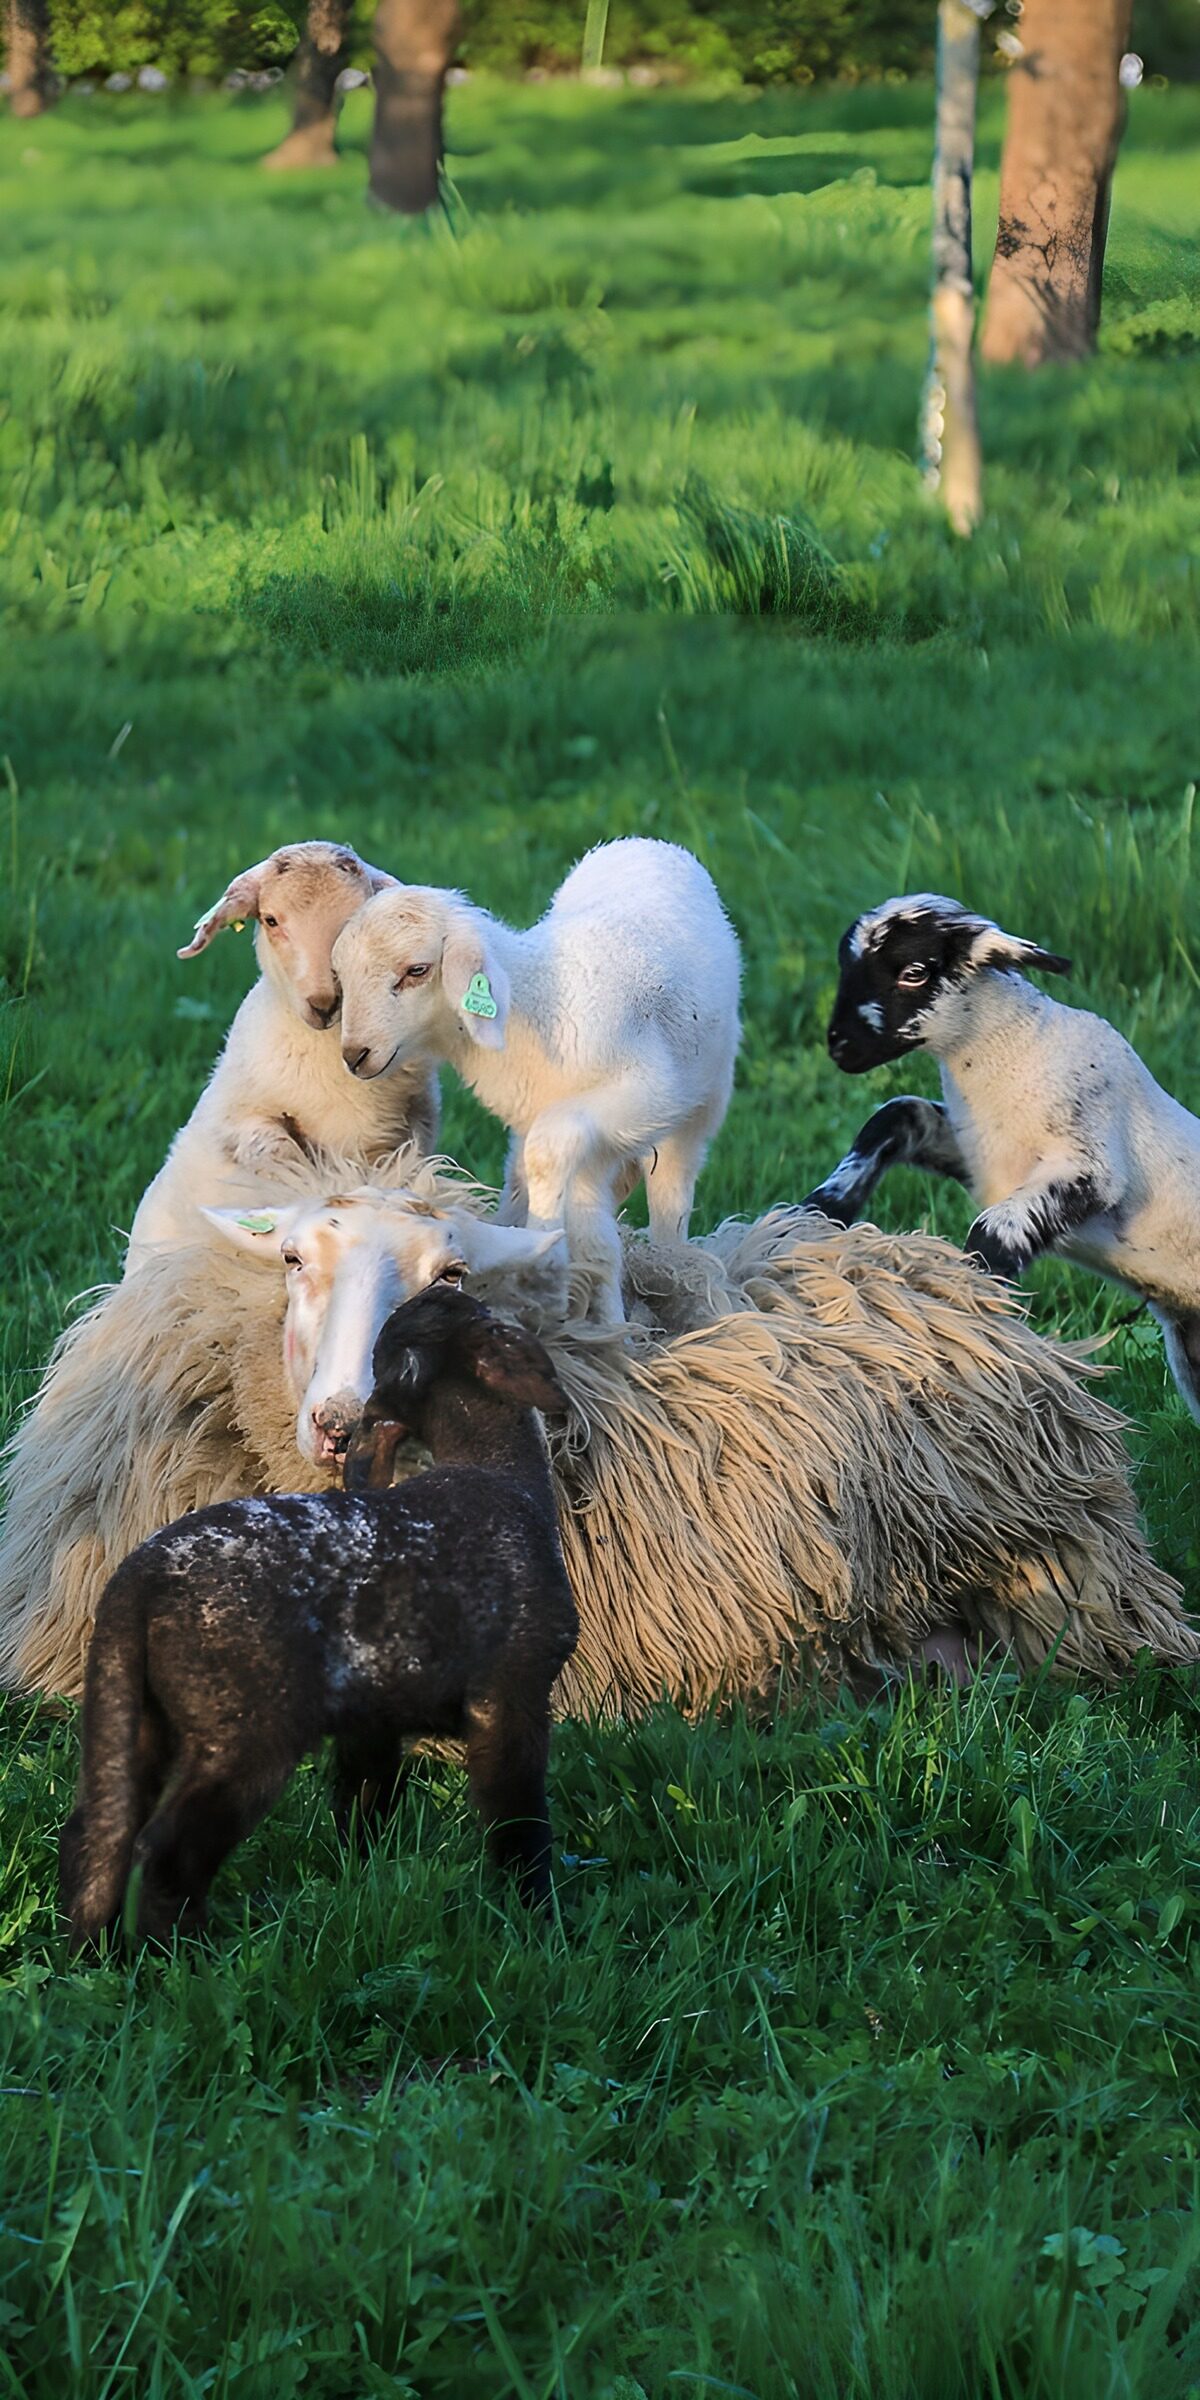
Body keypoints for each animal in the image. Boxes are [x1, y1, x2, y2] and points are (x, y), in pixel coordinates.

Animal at [58, 1283, 579, 1949]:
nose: (444, 1282)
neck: (497, 1471)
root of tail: (137, 1580)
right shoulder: (511, 1696)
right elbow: (518, 1825)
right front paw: (536, 1920)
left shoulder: (374, 1715)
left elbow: (365, 1801)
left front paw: (366, 1879)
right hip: (245, 1731)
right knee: (169, 1850)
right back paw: (189, 1955)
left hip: (134, 1713)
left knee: (101, 1833)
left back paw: (99, 1953)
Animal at [328, 837, 742, 1323]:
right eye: (341, 976)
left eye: (417, 971)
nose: (355, 1055)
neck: (536, 999)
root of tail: (647, 842)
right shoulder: (581, 1140)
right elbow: (597, 1245)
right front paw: (610, 1328)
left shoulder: (643, 1093)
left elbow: (548, 1153)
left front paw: (545, 1237)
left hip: (700, 1101)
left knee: (671, 1196)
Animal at [808, 891, 1200, 1424]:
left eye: (914, 971)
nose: (839, 1046)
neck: (1013, 1051)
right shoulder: (973, 1152)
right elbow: (894, 1114)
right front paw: (822, 1207)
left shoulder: (1093, 1166)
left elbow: (994, 1232)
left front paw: (968, 1309)